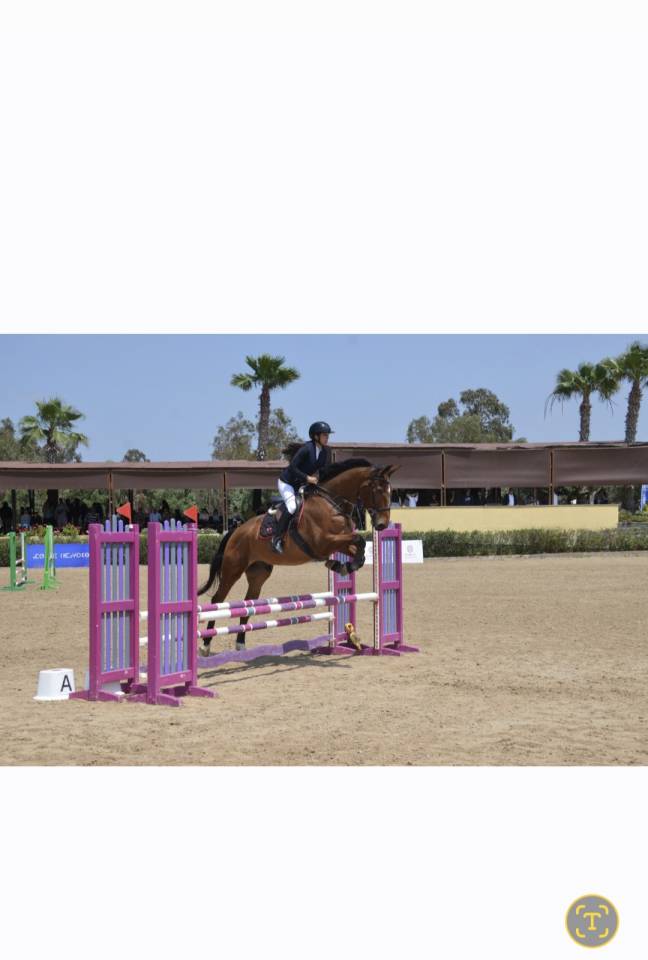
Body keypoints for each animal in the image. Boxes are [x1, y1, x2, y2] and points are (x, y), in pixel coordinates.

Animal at [198, 459, 398, 654]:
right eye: (378, 490)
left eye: (390, 491)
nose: (382, 524)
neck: (332, 503)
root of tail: (236, 530)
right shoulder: (323, 542)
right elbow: (359, 539)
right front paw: (339, 565)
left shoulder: (339, 542)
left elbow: (360, 549)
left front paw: (341, 566)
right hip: (233, 569)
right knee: (217, 601)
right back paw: (205, 645)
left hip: (259, 573)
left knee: (249, 604)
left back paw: (240, 644)